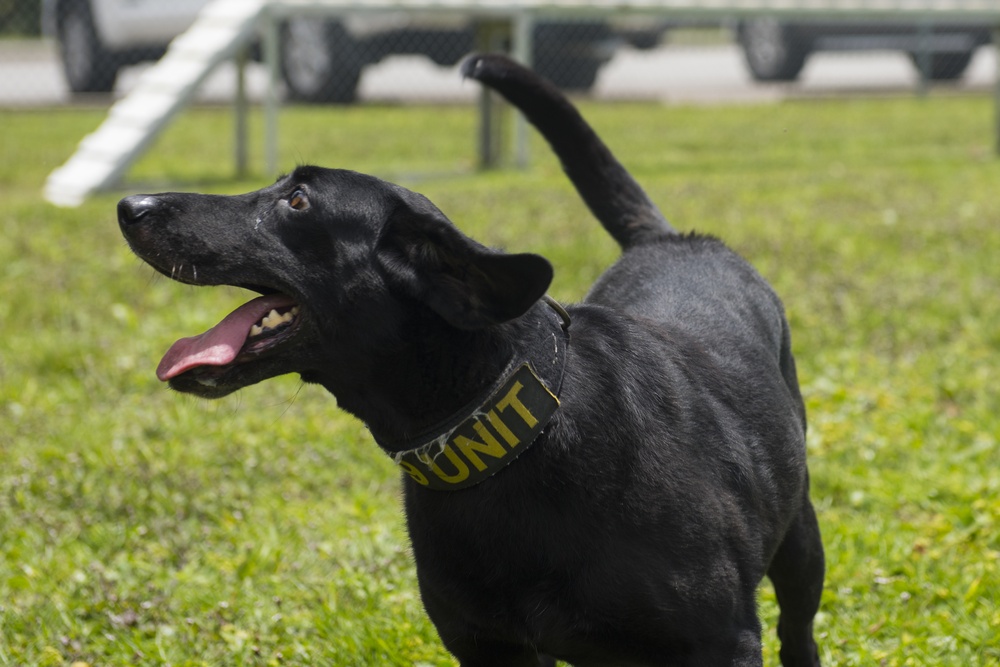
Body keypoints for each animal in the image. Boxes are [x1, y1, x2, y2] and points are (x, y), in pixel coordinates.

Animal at [117, 53, 824, 667]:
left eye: (296, 202)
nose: (130, 206)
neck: (514, 436)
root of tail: (672, 239)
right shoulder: (491, 649)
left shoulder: (722, 643)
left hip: (800, 542)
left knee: (799, 629)